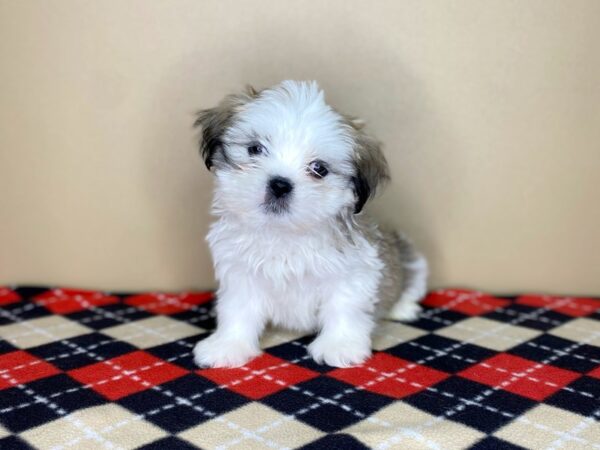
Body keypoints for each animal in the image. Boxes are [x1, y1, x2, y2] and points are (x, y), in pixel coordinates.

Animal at [192, 80, 426, 370]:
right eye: (255, 149)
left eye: (319, 168)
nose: (280, 184)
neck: (285, 232)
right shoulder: (240, 272)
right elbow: (238, 309)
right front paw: (228, 345)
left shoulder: (353, 271)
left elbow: (344, 307)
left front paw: (339, 345)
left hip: (411, 257)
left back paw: (403, 307)